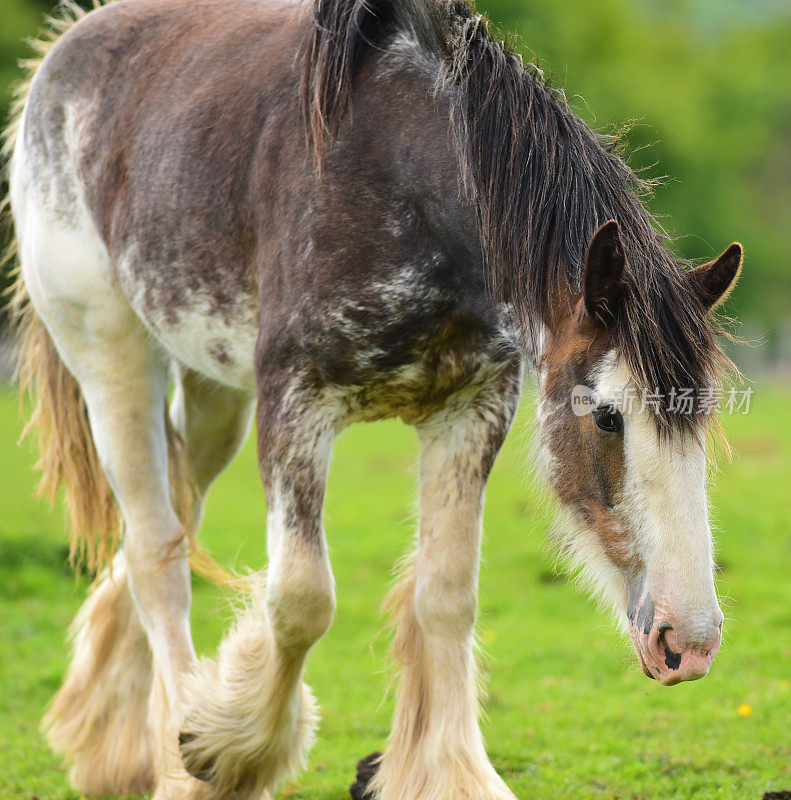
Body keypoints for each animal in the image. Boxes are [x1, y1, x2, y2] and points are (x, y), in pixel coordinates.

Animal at [4, 0, 744, 796]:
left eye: (699, 416)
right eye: (607, 416)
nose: (690, 642)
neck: (399, 178)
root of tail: (67, 47)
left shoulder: (469, 410)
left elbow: (445, 597)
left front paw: (448, 773)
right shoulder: (295, 403)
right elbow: (301, 600)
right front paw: (230, 751)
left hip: (211, 393)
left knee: (173, 517)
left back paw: (114, 743)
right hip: (112, 356)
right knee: (154, 556)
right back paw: (175, 764)